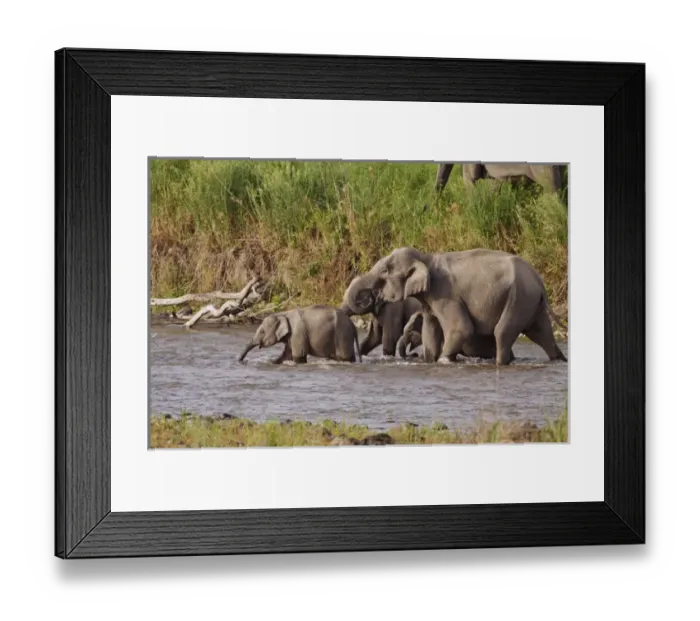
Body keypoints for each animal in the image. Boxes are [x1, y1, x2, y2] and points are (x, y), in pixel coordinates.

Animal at [342, 247, 567, 366]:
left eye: (384, 271)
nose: (368, 296)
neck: (426, 258)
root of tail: (539, 280)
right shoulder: (429, 301)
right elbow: (431, 331)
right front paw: (430, 360)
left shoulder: (446, 295)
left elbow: (462, 328)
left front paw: (444, 361)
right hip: (530, 302)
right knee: (542, 334)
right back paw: (559, 361)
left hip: (518, 298)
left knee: (502, 332)